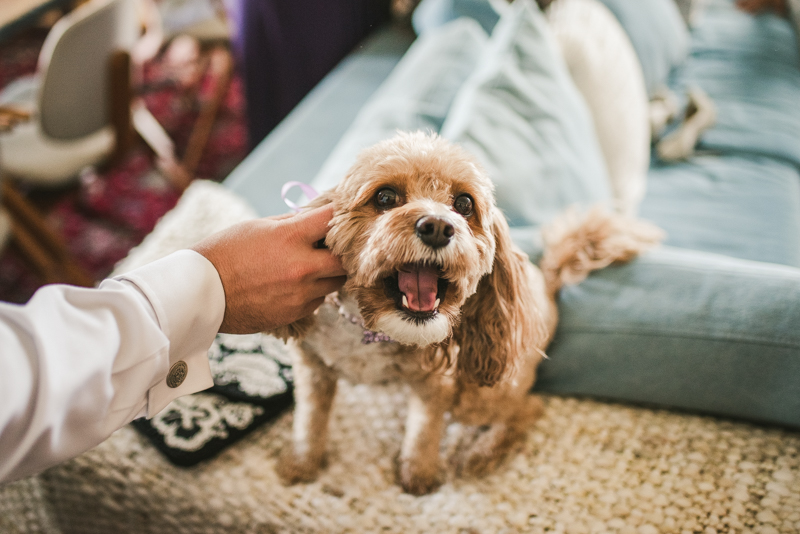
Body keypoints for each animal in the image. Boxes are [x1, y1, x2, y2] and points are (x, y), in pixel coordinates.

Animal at [272, 132, 660, 496]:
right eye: (384, 198)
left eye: (463, 203)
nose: (438, 227)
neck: (367, 329)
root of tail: (547, 282)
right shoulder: (312, 371)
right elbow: (308, 422)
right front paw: (301, 464)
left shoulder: (437, 384)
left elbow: (423, 432)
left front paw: (418, 476)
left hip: (477, 395)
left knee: (527, 409)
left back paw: (482, 453)